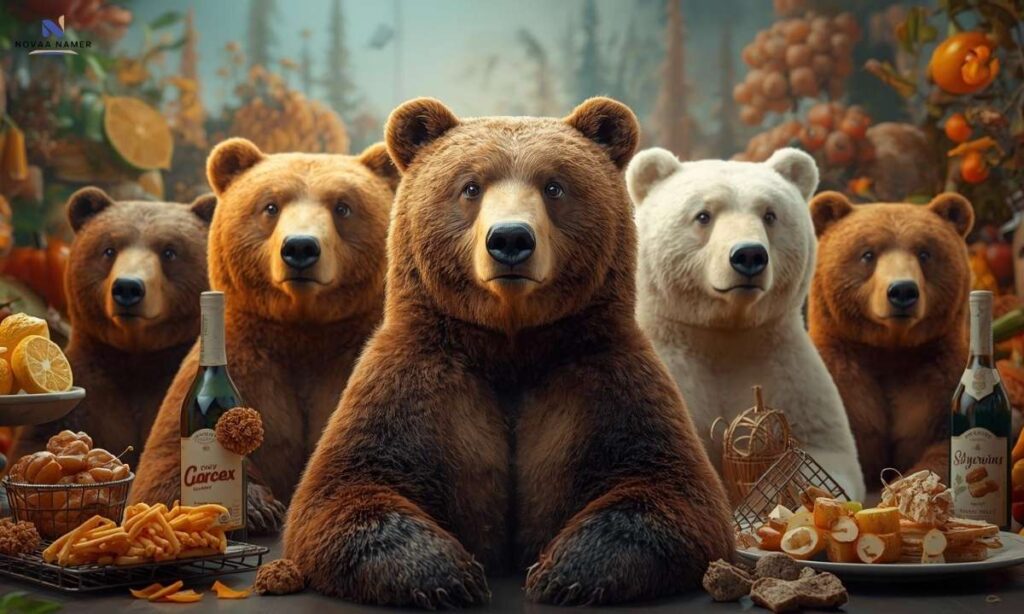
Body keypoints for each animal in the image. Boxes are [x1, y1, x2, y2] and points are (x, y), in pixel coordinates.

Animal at [130, 138, 398, 533]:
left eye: (343, 207)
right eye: (270, 205)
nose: (300, 247)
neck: (302, 329)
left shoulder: (356, 359)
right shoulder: (250, 359)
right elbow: (160, 468)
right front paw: (258, 506)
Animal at [283, 97, 733, 608]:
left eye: (554, 186)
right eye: (470, 186)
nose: (511, 238)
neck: (510, 343)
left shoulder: (604, 376)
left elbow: (671, 491)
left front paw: (563, 574)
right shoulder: (415, 379)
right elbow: (347, 488)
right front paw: (449, 577)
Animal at [626, 147, 866, 502]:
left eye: (770, 215)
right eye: (703, 215)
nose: (749, 255)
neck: (723, 332)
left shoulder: (786, 370)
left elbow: (825, 449)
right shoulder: (669, 366)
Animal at [808, 190, 974, 486]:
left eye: (924, 252)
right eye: (867, 254)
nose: (902, 290)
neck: (888, 350)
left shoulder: (937, 378)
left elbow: (942, 447)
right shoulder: (840, 376)